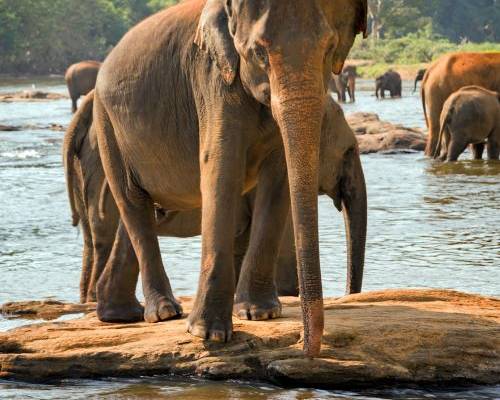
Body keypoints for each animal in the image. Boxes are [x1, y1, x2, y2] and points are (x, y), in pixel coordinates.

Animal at [91, 0, 368, 356]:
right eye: (259, 53)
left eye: (329, 48)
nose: (307, 348)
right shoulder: (211, 77)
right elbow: (221, 165)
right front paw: (208, 334)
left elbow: (277, 178)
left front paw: (259, 313)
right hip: (107, 124)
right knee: (132, 202)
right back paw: (164, 313)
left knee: (139, 213)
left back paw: (121, 315)